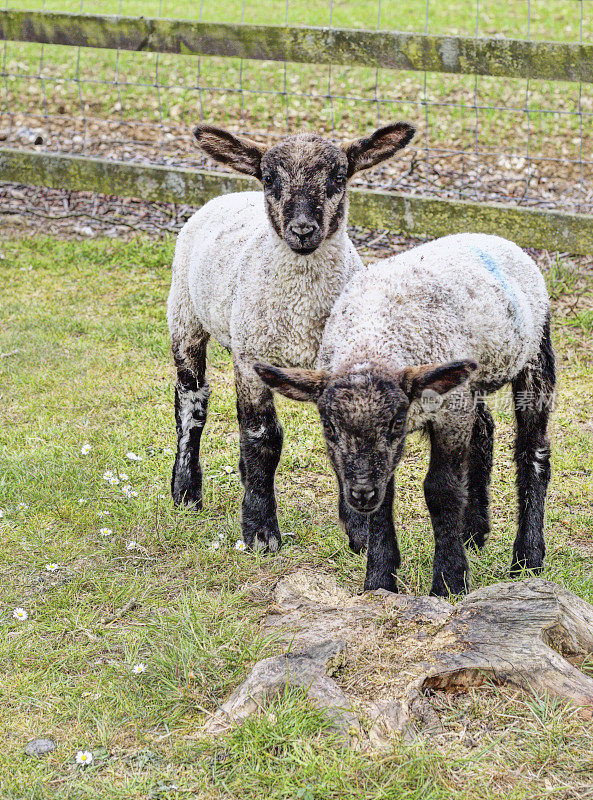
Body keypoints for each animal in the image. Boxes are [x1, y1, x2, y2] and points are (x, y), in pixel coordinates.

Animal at [166, 122, 416, 552]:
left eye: (339, 178)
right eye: (269, 179)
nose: (302, 230)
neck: (300, 310)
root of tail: (231, 194)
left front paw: (361, 533)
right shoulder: (251, 359)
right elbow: (261, 438)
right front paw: (260, 531)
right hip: (184, 314)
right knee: (191, 399)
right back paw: (185, 490)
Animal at [256, 231, 556, 592]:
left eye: (395, 424)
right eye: (328, 428)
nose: (361, 494)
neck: (372, 342)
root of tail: (493, 237)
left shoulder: (450, 413)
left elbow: (442, 490)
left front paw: (449, 581)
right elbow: (384, 500)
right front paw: (380, 579)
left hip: (534, 355)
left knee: (533, 452)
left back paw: (527, 559)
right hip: (470, 382)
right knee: (483, 430)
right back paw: (474, 531)